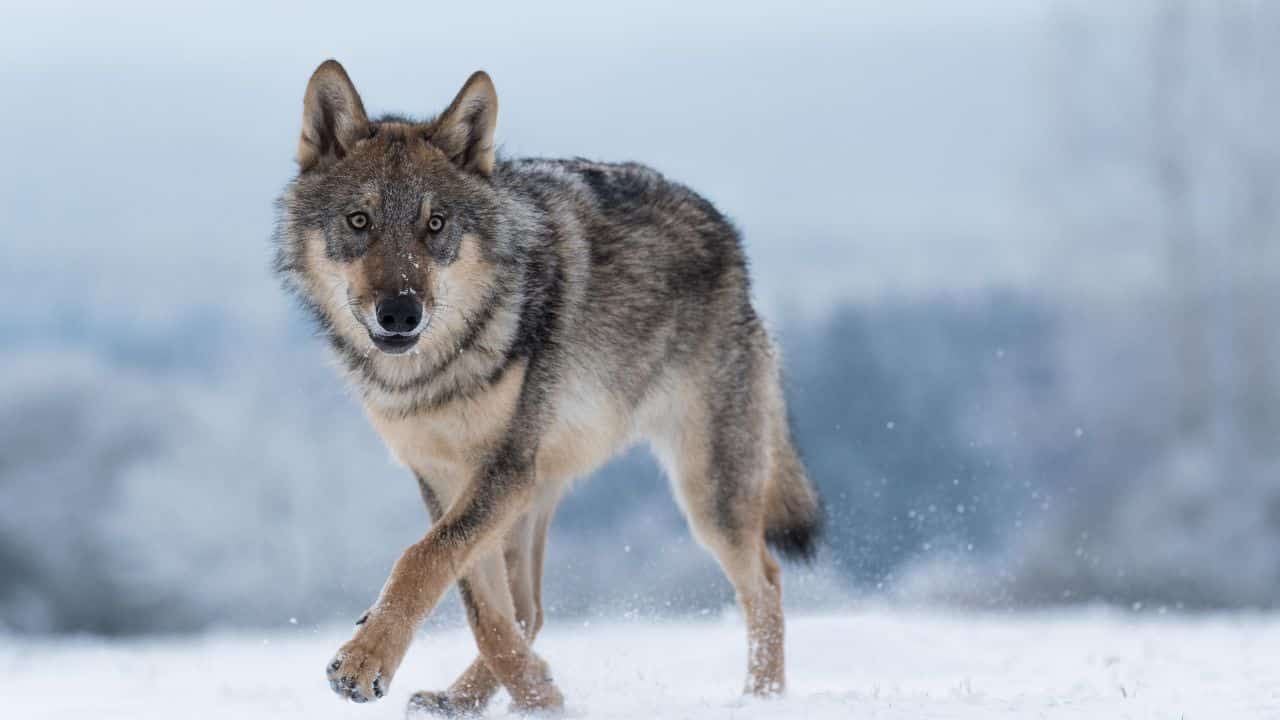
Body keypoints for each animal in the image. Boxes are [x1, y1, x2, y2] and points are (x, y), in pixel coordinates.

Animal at [273, 59, 824, 714]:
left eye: (435, 225)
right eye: (360, 221)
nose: (401, 314)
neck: (436, 372)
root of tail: (730, 239)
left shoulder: (503, 469)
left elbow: (423, 560)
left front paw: (363, 662)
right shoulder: (444, 476)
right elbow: (480, 607)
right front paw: (539, 694)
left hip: (705, 492)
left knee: (765, 581)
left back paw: (762, 698)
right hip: (542, 490)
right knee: (529, 610)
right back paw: (468, 697)